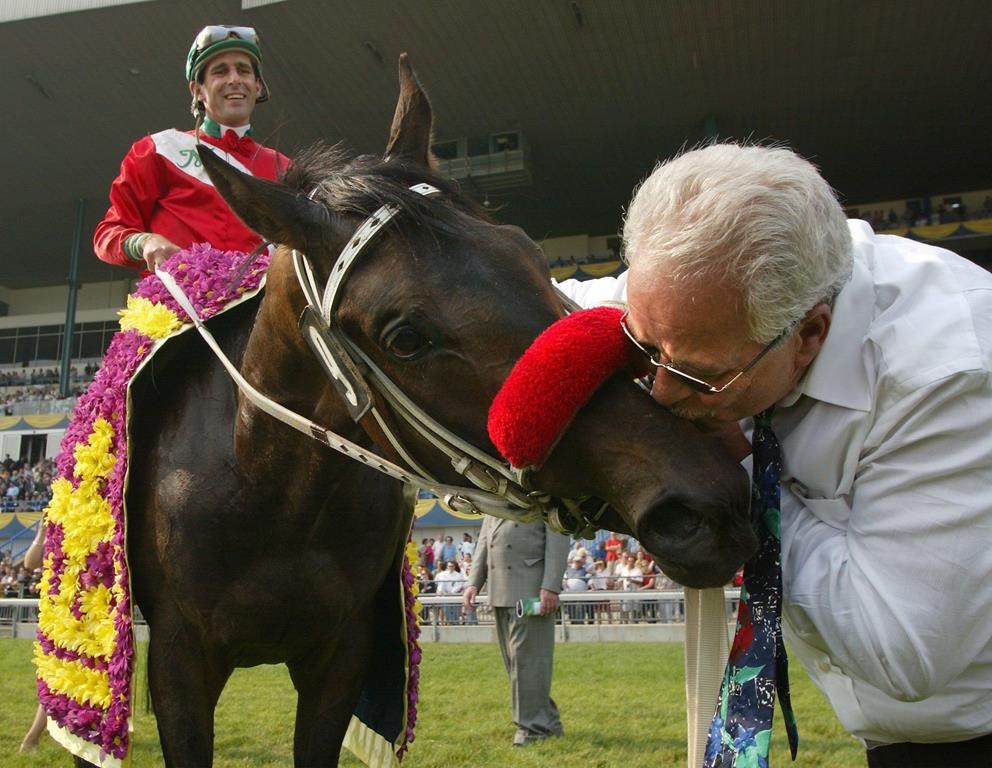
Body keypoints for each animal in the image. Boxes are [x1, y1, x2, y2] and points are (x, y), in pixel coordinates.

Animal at [116, 57, 752, 764]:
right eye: (405, 338)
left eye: (532, 257)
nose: (708, 500)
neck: (266, 494)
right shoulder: (179, 660)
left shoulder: (342, 655)